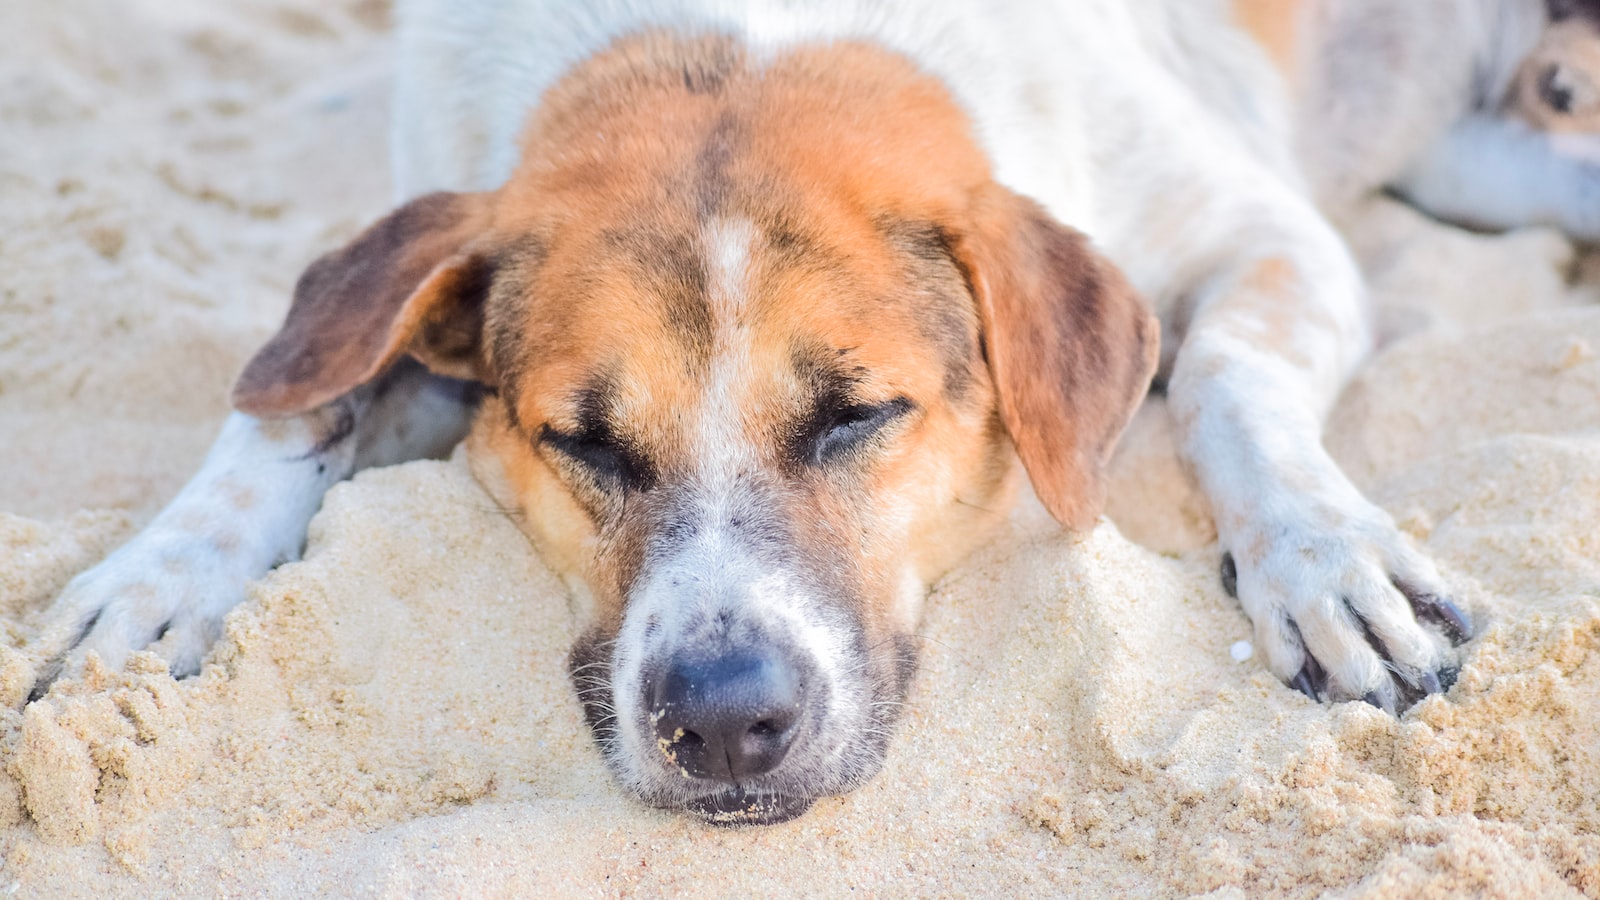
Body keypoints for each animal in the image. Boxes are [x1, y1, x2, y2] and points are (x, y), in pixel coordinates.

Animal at [43, 0, 1593, 826]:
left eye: (857, 414)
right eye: (583, 441)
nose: (725, 725)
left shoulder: (1269, 234)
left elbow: (1225, 374)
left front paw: (1329, 565)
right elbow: (294, 399)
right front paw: (157, 580)